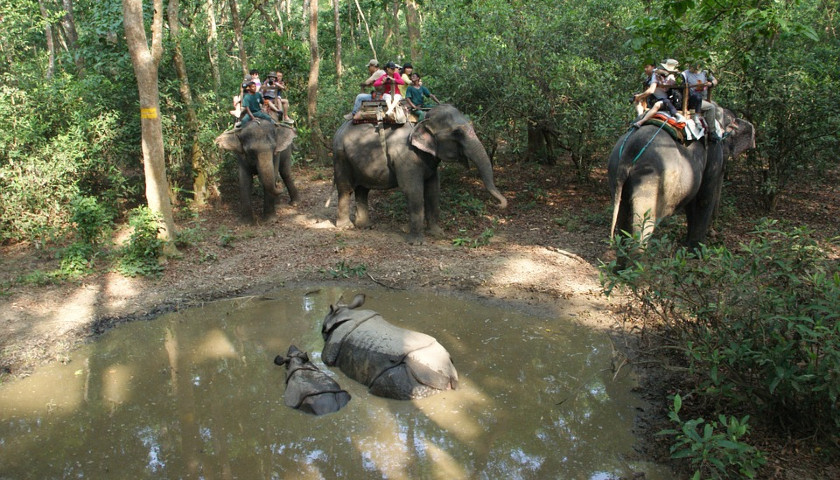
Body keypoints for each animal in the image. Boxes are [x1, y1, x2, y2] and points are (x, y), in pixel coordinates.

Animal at [320, 294, 460, 400]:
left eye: (323, 327)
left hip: (417, 372)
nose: (322, 330)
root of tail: (449, 376)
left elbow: (327, 358)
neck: (346, 313)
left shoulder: (333, 344)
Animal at [334, 103, 506, 244]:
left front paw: (438, 234)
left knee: (363, 189)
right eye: (457, 133)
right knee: (345, 189)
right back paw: (346, 227)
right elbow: (413, 190)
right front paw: (417, 242)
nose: (500, 205)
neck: (423, 119)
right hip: (341, 156)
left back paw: (365, 226)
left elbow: (433, 190)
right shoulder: (406, 155)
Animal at [608, 107, 756, 249]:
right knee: (645, 222)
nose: (713, 232)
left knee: (623, 212)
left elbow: (692, 202)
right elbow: (705, 198)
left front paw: (688, 244)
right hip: (650, 178)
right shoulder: (714, 152)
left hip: (615, 168)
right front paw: (697, 250)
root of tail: (628, 153)